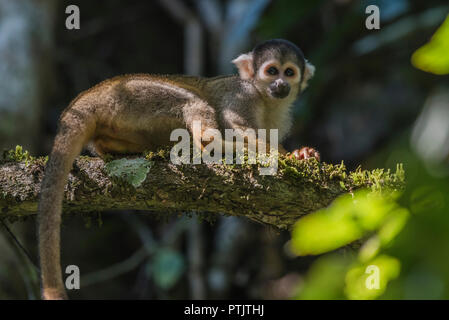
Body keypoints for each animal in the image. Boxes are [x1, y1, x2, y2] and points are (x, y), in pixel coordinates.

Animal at [38, 38, 318, 298]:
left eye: (289, 72)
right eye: (271, 71)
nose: (280, 85)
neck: (265, 98)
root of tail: (87, 96)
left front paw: (300, 153)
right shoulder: (241, 93)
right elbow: (238, 126)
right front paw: (287, 156)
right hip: (132, 95)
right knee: (193, 102)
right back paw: (213, 143)